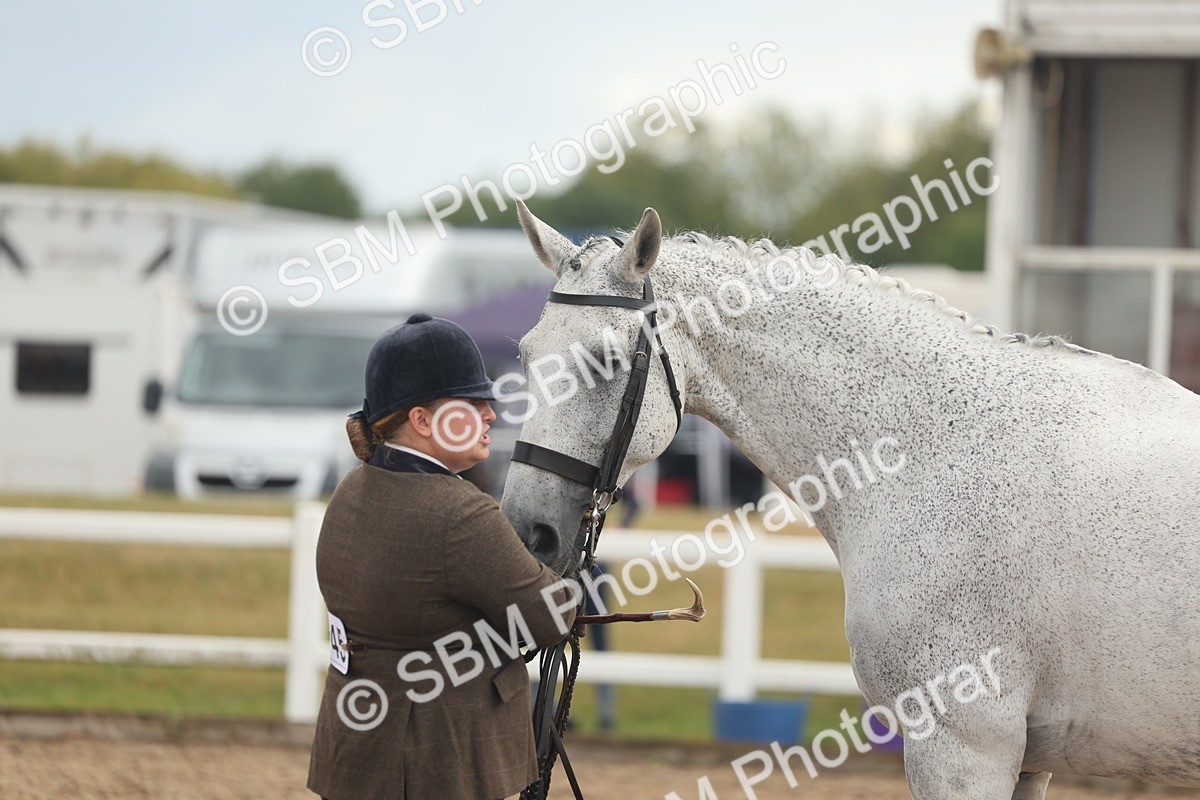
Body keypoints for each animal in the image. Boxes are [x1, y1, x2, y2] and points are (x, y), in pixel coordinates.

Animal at [498, 199, 1200, 799]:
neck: (935, 445)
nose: (528, 533)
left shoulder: (964, 747)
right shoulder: (1022, 759)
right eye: (526, 357)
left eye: (608, 360)